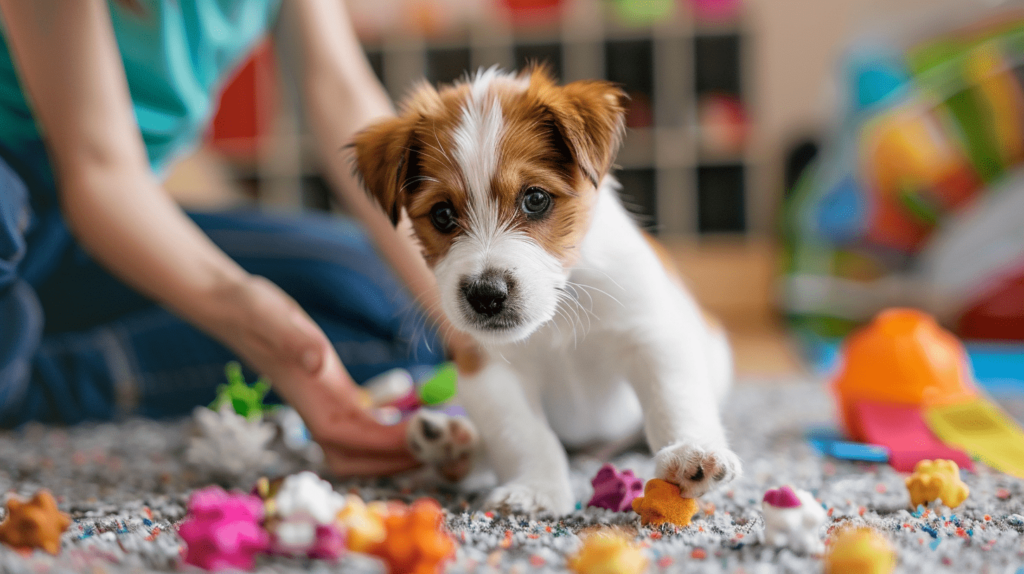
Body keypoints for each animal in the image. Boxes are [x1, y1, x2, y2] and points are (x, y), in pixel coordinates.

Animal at [352, 67, 737, 515]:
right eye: (442, 214)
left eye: (535, 199)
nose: (486, 295)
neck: (558, 312)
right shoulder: (488, 371)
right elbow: (524, 436)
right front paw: (536, 488)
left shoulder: (651, 335)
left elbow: (674, 399)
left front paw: (691, 451)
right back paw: (451, 444)